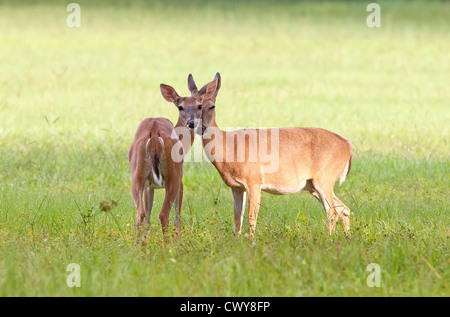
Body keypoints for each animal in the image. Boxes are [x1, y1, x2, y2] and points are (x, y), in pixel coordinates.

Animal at [127, 81, 203, 239]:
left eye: (199, 105)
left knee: (140, 214)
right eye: (180, 107)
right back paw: (169, 244)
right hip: (172, 176)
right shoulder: (180, 180)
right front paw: (178, 237)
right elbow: (177, 214)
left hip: (137, 174)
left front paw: (144, 240)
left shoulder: (149, 184)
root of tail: (155, 134)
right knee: (163, 214)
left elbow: (148, 215)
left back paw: (137, 244)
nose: (191, 122)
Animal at [188, 71, 354, 235]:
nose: (198, 126)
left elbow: (251, 218)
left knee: (332, 211)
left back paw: (330, 238)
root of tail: (347, 145)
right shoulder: (236, 187)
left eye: (212, 106)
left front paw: (251, 240)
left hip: (325, 178)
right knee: (343, 209)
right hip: (313, 185)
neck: (229, 149)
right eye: (185, 106)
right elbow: (237, 220)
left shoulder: (254, 180)